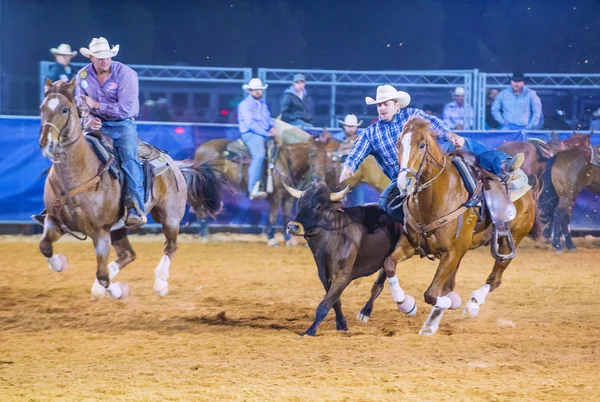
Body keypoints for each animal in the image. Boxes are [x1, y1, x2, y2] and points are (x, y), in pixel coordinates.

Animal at [38, 79, 230, 298]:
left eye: (64, 109)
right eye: (42, 108)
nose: (46, 143)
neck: (77, 174)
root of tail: (175, 165)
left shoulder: (100, 231)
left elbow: (102, 274)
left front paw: (117, 292)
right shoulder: (55, 221)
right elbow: (45, 246)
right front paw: (59, 264)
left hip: (170, 216)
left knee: (170, 246)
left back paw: (160, 283)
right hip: (118, 229)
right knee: (128, 255)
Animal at [358, 119, 536, 336]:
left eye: (422, 145)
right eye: (398, 144)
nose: (404, 182)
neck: (436, 198)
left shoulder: (452, 252)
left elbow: (431, 294)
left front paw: (449, 305)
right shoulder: (411, 245)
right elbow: (390, 264)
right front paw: (406, 304)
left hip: (510, 241)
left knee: (494, 279)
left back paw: (472, 305)